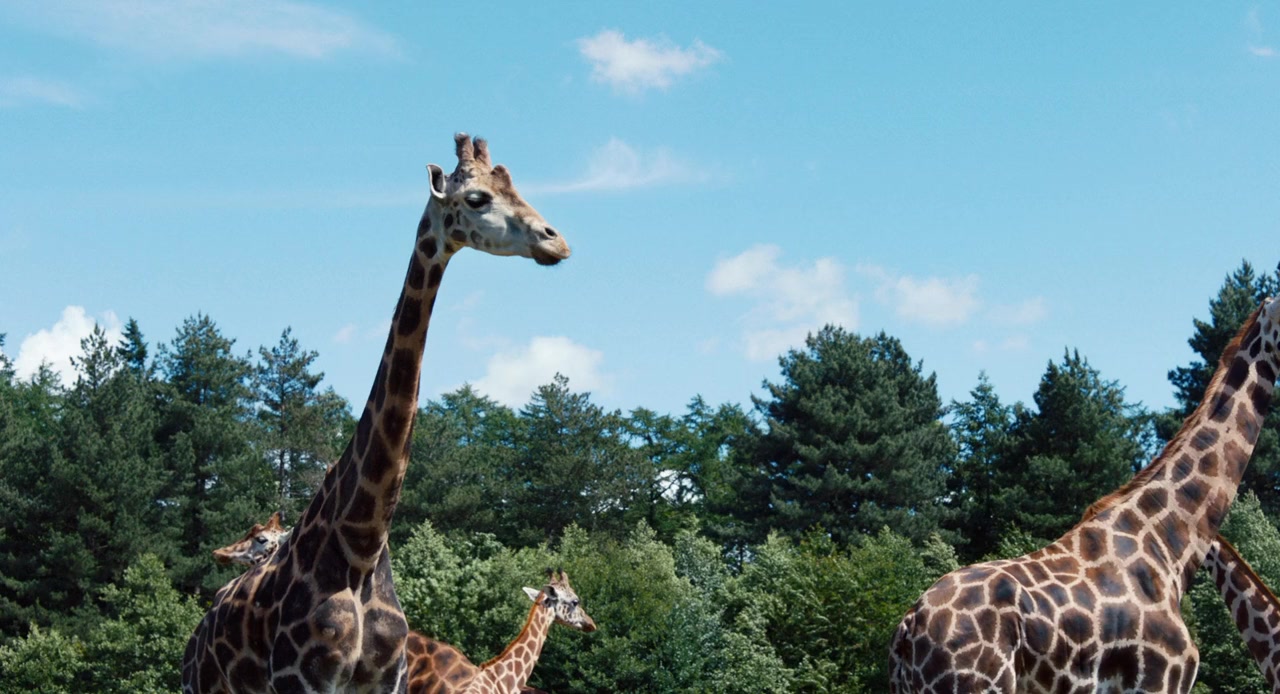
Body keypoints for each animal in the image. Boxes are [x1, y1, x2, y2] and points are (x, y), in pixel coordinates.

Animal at [182, 133, 571, 694]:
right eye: (477, 198)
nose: (555, 242)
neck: (361, 546)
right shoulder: (302, 679)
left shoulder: (385, 680)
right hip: (203, 685)